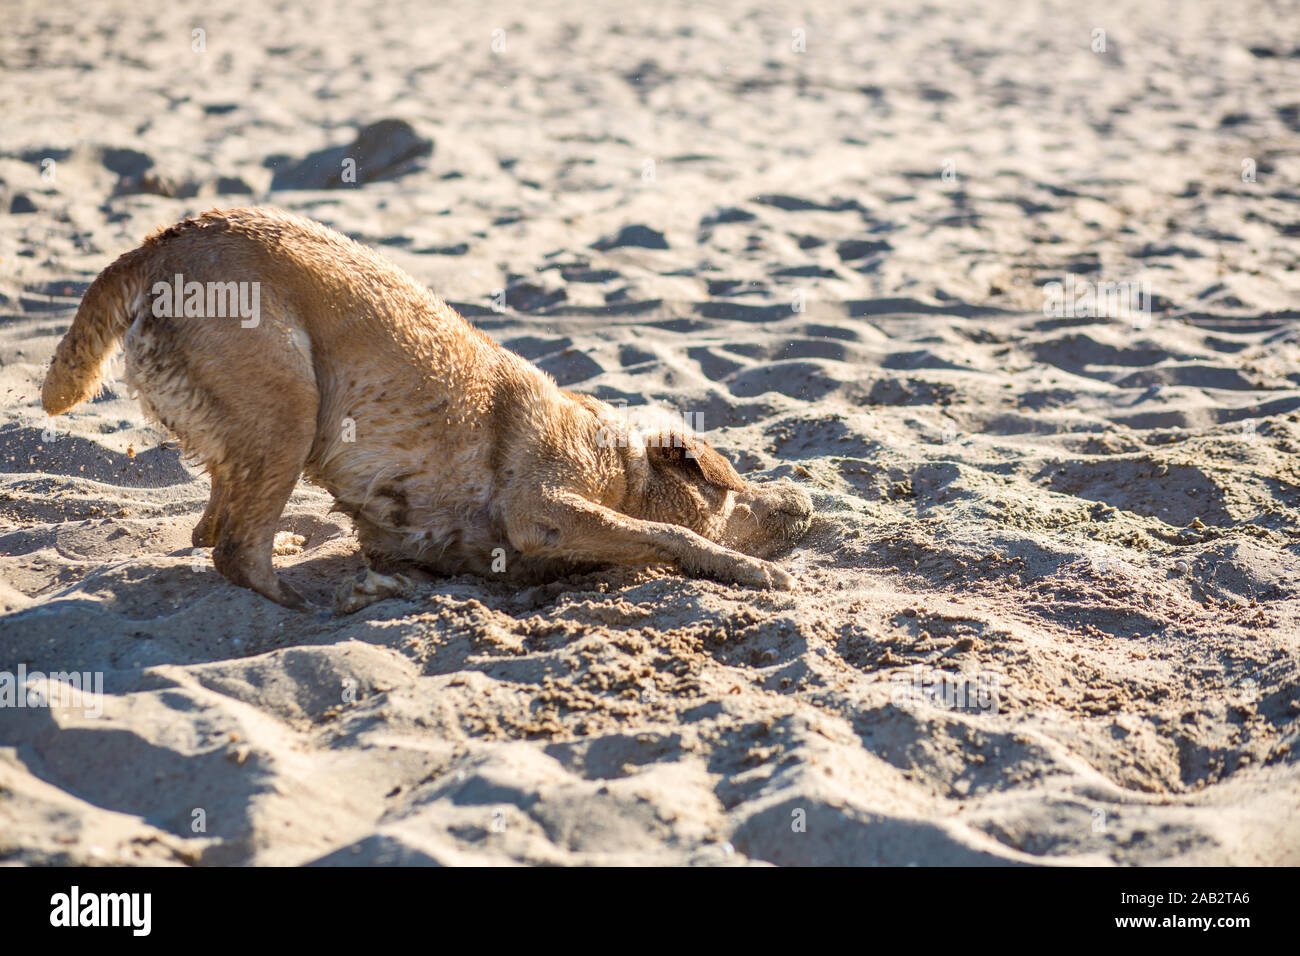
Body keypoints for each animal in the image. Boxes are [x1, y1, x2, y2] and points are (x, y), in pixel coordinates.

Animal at [40, 210, 806, 613]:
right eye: (732, 487)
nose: (802, 503)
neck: (619, 462)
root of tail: (160, 241)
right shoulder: (544, 505)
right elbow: (669, 535)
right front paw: (750, 568)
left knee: (215, 524)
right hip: (292, 407)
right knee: (234, 547)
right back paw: (310, 601)